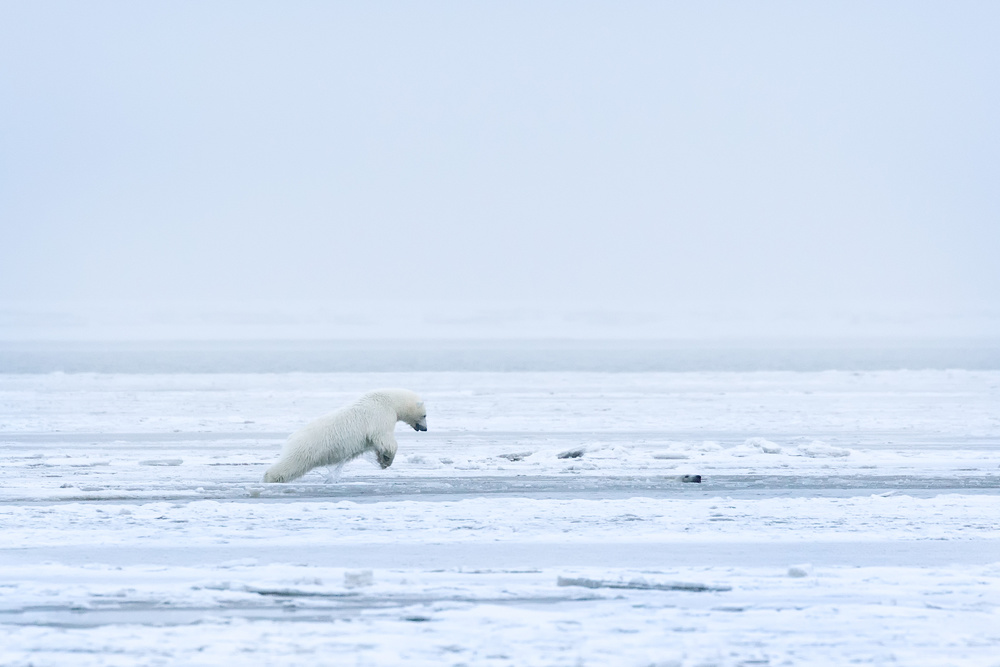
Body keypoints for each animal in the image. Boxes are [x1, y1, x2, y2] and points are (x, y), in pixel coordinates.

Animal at [262, 388, 426, 482]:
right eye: (424, 415)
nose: (425, 429)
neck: (388, 400)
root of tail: (291, 438)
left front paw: (382, 460)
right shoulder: (381, 415)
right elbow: (385, 439)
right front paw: (387, 460)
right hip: (306, 449)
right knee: (289, 464)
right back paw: (269, 478)